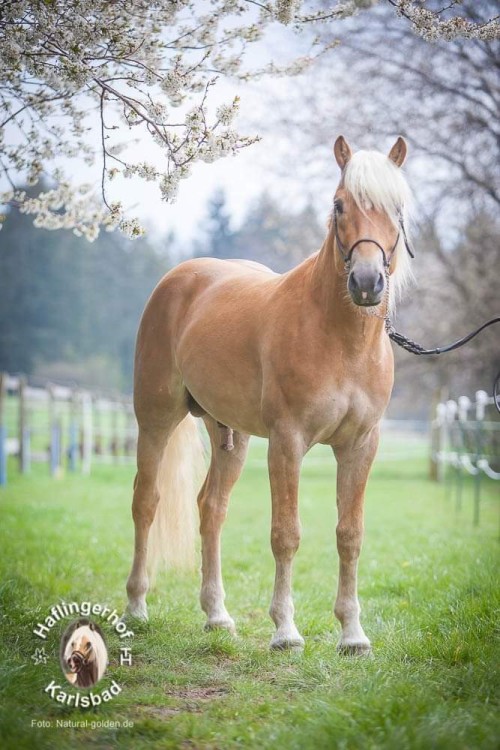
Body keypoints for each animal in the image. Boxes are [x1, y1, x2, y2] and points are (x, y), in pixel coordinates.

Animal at [126, 138, 414, 656]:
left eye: (397, 210)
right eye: (339, 205)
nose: (366, 283)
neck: (339, 337)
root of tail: (179, 277)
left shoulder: (361, 445)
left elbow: (350, 535)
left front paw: (352, 634)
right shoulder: (287, 442)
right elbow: (286, 534)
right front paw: (285, 630)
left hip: (230, 435)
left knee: (211, 510)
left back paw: (217, 616)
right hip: (156, 419)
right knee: (147, 501)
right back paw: (137, 607)